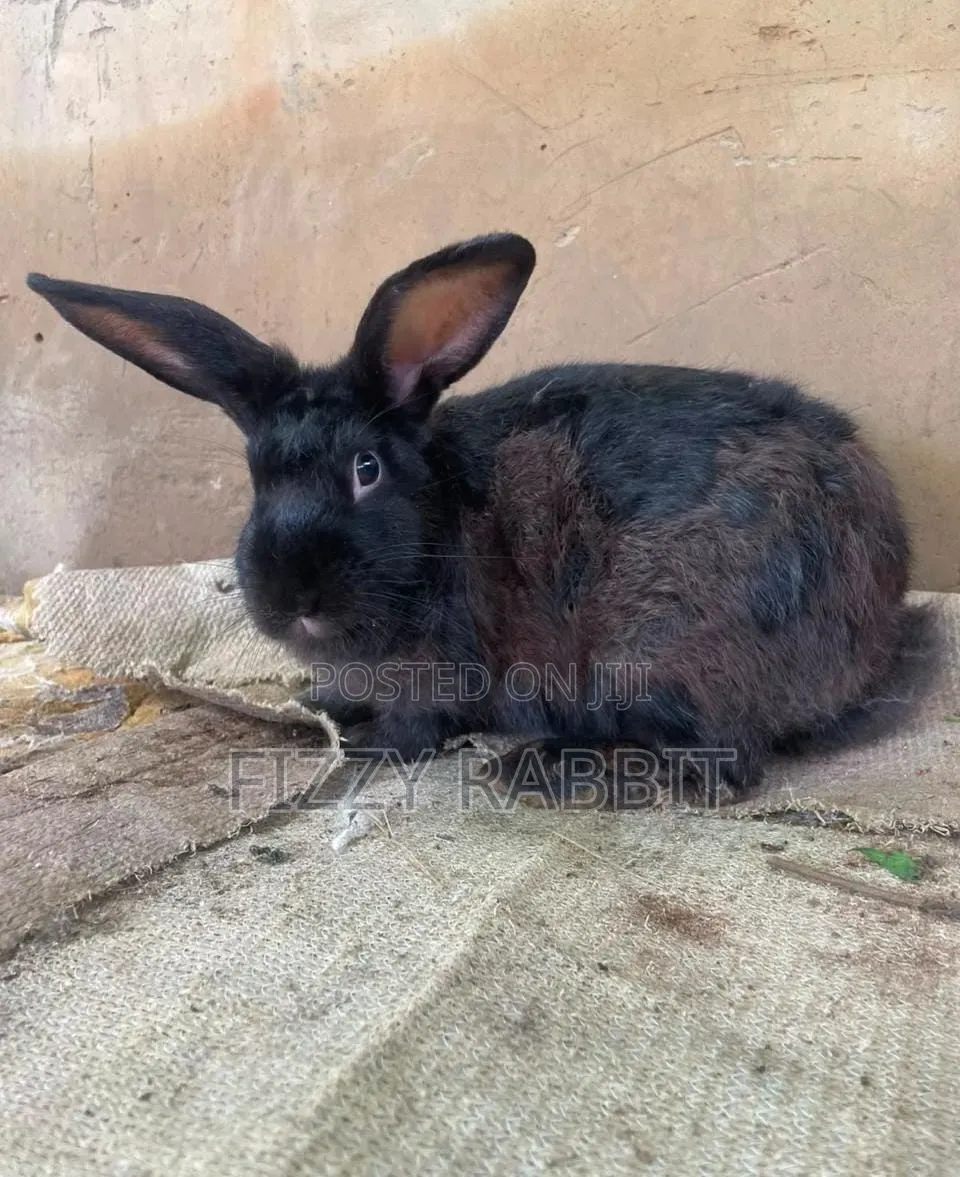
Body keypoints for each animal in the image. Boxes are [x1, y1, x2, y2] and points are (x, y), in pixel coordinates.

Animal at [27, 232, 922, 804]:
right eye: (255, 479)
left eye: (366, 470)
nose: (294, 597)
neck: (434, 528)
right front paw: (323, 701)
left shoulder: (443, 670)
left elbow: (416, 725)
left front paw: (367, 742)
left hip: (656, 649)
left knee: (716, 765)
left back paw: (536, 771)